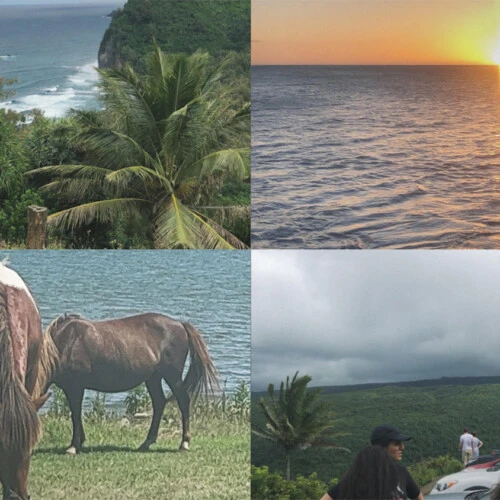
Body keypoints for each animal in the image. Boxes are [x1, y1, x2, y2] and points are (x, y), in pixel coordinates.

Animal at [38, 312, 218, 454]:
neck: (66, 342)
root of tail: (180, 324)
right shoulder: (71, 389)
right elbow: (76, 413)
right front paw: (80, 441)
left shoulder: (75, 387)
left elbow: (75, 414)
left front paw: (74, 446)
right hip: (153, 378)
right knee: (159, 403)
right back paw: (147, 442)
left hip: (172, 375)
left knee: (183, 401)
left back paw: (184, 443)